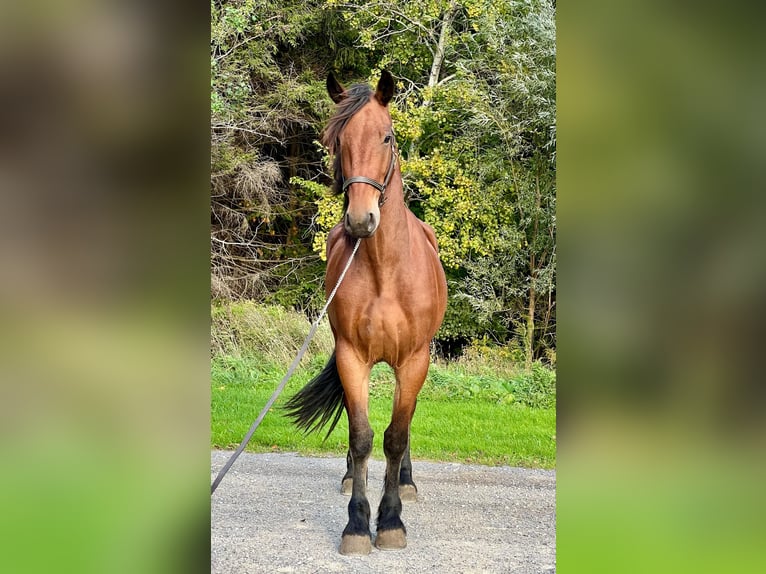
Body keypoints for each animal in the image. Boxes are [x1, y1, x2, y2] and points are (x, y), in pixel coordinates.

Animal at [284, 70, 448, 556]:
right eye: (337, 141)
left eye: (387, 136)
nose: (361, 220)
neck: (384, 270)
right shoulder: (351, 357)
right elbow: (361, 438)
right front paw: (357, 525)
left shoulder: (413, 360)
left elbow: (395, 436)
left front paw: (391, 520)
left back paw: (407, 482)